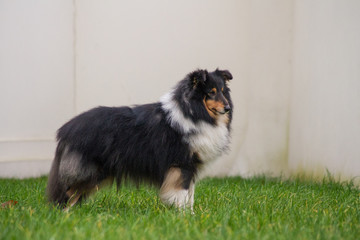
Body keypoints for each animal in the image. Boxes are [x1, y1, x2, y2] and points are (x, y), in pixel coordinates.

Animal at [47, 68, 233, 211]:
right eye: (211, 93)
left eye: (223, 91)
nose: (227, 108)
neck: (193, 113)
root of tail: (66, 129)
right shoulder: (182, 165)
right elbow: (182, 194)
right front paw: (184, 216)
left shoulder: (191, 168)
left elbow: (190, 196)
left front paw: (191, 215)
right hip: (91, 171)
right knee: (66, 193)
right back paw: (63, 215)